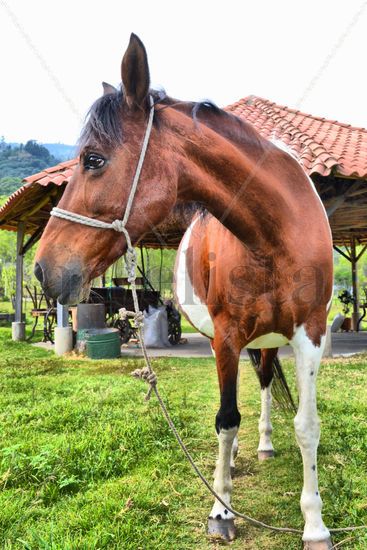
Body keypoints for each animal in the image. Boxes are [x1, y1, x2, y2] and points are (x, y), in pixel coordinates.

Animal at [36, 35, 334, 550]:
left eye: (94, 159)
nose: (43, 269)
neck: (276, 234)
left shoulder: (310, 336)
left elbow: (307, 425)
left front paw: (314, 524)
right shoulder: (228, 338)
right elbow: (225, 420)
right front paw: (222, 509)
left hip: (268, 341)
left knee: (263, 387)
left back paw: (264, 444)